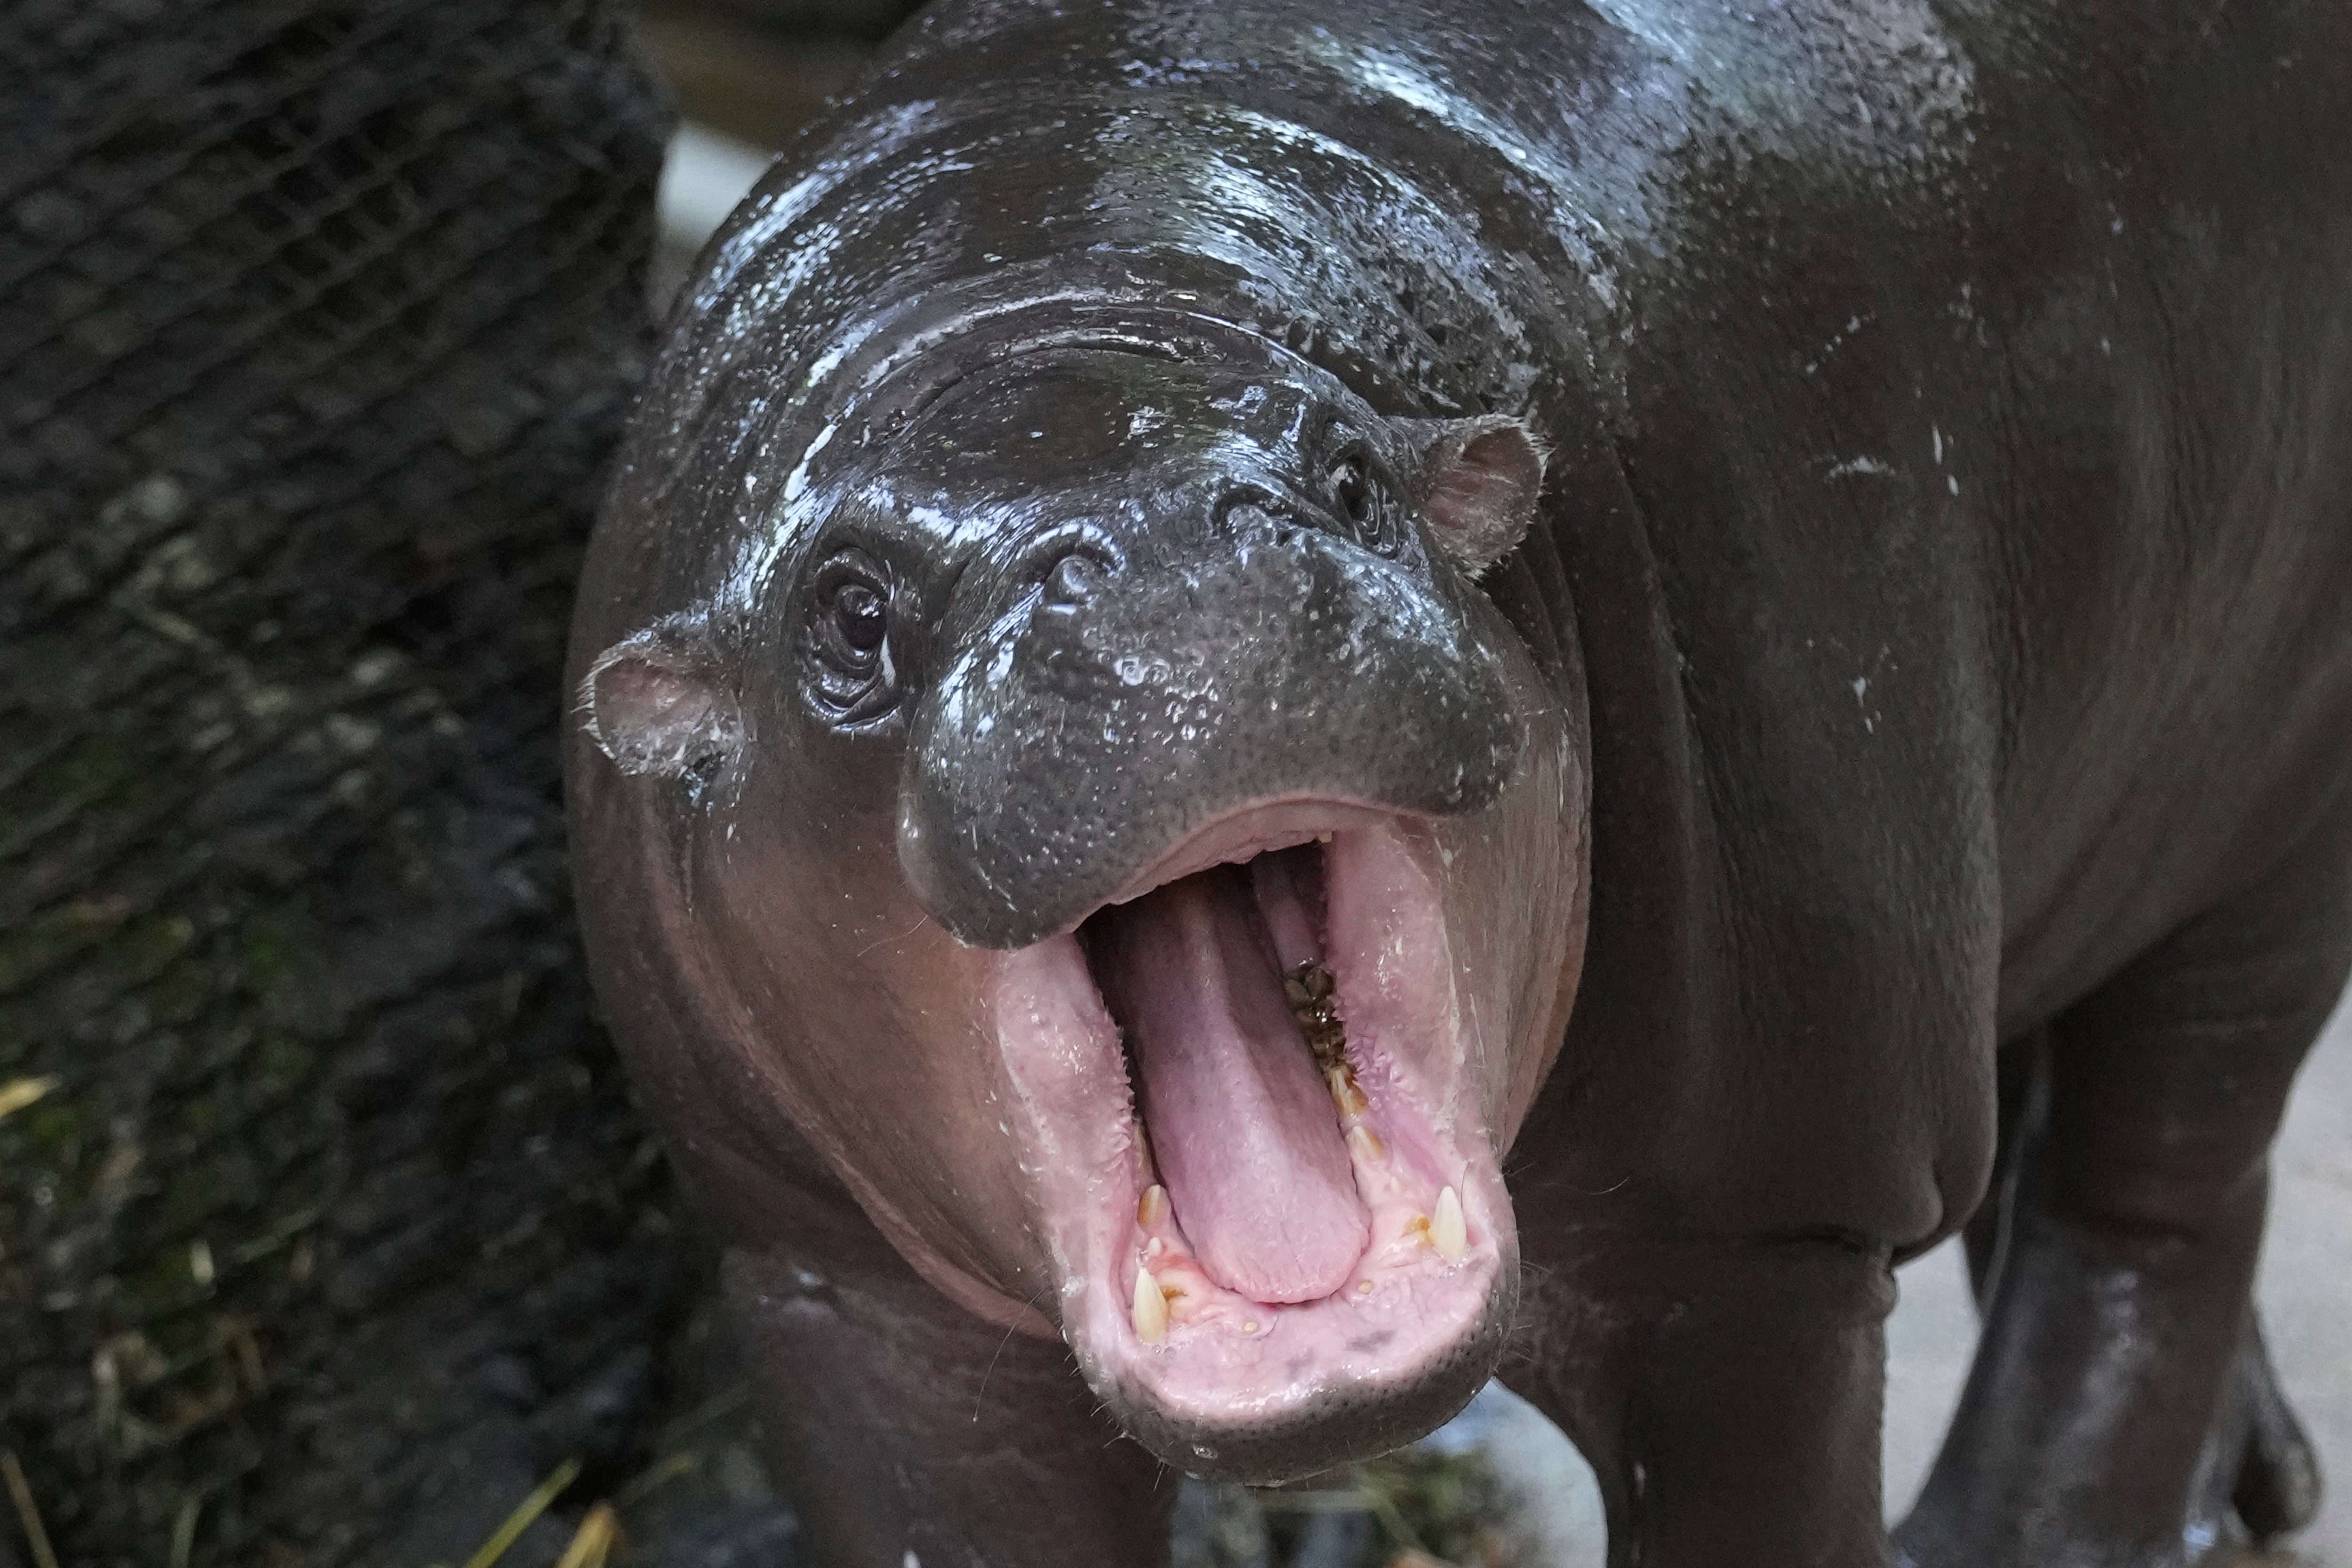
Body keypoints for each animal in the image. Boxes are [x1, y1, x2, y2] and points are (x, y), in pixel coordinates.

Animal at [564, 0, 2352, 1562]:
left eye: (1354, 477)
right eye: (845, 617)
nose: (1167, 556)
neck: (1043, 290)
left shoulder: (1762, 1246)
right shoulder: (842, 1299)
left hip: (2271, 813)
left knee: (2150, 1195)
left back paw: (2029, 1532)